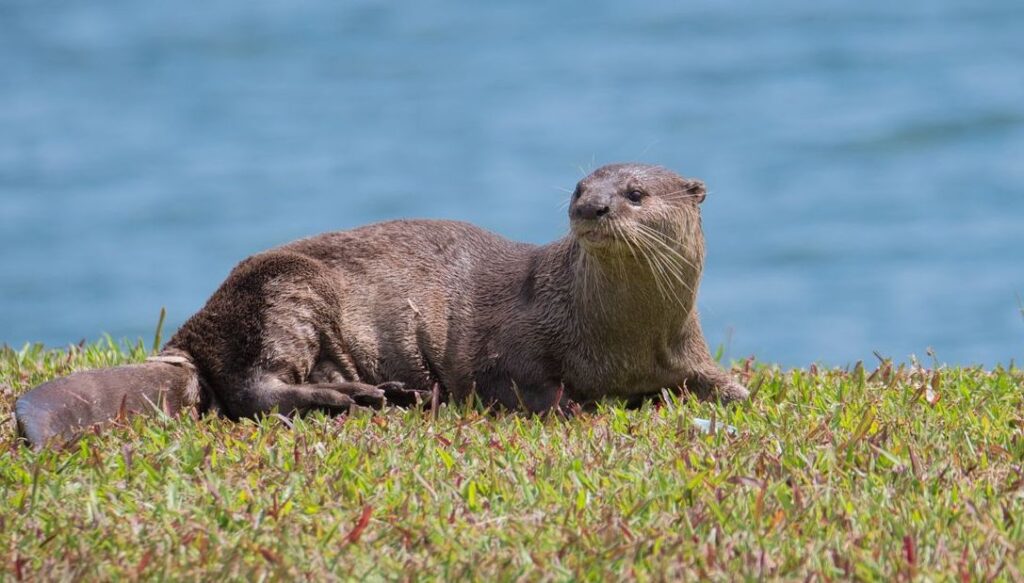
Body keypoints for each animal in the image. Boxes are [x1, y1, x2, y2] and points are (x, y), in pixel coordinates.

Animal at [14, 163, 748, 447]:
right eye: (578, 185)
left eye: (634, 193)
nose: (589, 206)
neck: (618, 339)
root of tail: (190, 338)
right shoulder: (510, 346)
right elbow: (525, 386)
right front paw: (577, 408)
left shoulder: (684, 350)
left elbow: (724, 385)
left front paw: (734, 393)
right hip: (286, 290)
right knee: (254, 389)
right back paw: (358, 400)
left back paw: (386, 393)